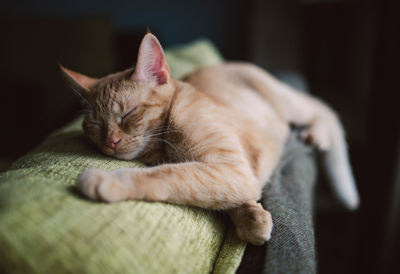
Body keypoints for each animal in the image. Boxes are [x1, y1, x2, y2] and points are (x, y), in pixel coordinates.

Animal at [59, 33, 360, 245]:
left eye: (128, 114)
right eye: (95, 125)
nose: (110, 142)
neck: (162, 148)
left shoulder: (229, 168)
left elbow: (168, 175)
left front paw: (105, 181)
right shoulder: (232, 176)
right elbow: (223, 195)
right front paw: (251, 218)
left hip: (290, 104)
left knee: (324, 111)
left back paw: (317, 135)